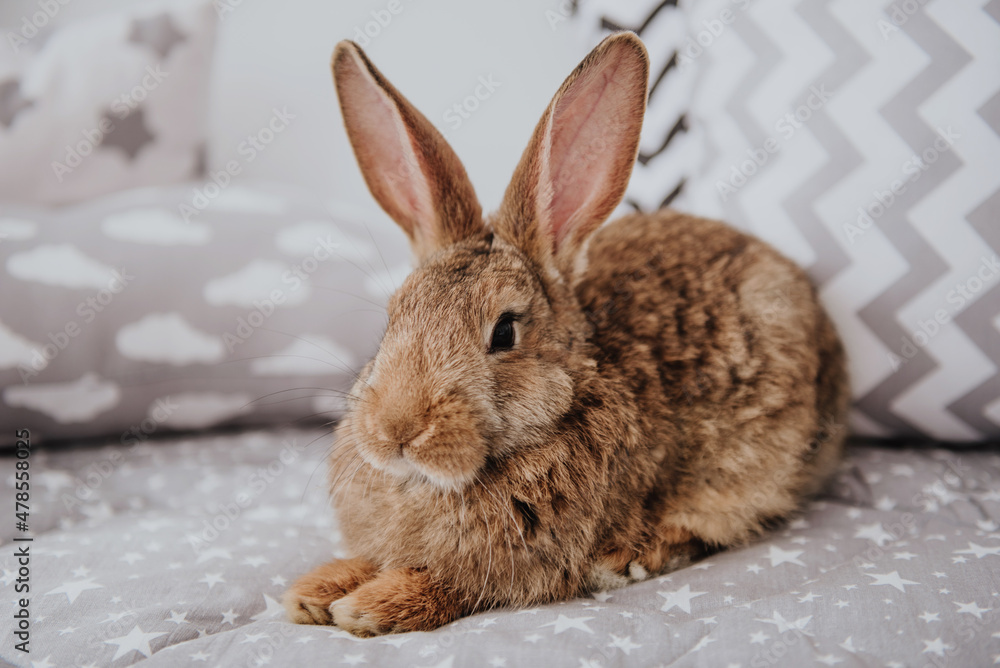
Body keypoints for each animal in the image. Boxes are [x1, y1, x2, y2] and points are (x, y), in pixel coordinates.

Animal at [283, 31, 849, 637]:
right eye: (392, 318)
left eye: (504, 332)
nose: (397, 430)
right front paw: (314, 591)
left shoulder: (518, 567)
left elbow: (449, 584)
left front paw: (369, 606)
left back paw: (632, 556)